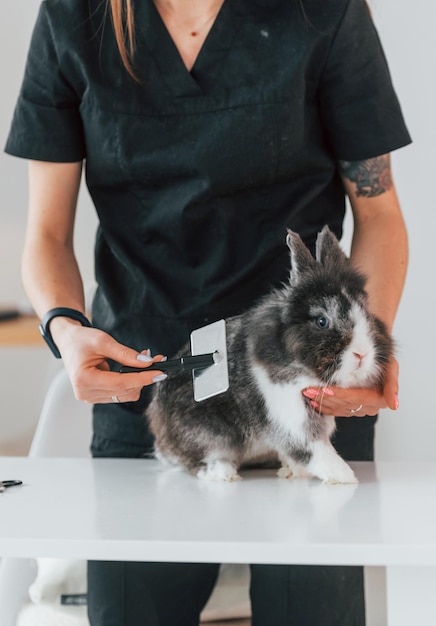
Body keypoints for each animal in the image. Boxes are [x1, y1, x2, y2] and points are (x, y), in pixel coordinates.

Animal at [146, 227, 392, 486]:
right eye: (322, 321)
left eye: (366, 313)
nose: (362, 354)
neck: (298, 363)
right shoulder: (293, 417)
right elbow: (314, 450)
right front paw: (345, 477)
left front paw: (297, 473)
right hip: (209, 432)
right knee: (197, 461)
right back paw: (223, 474)